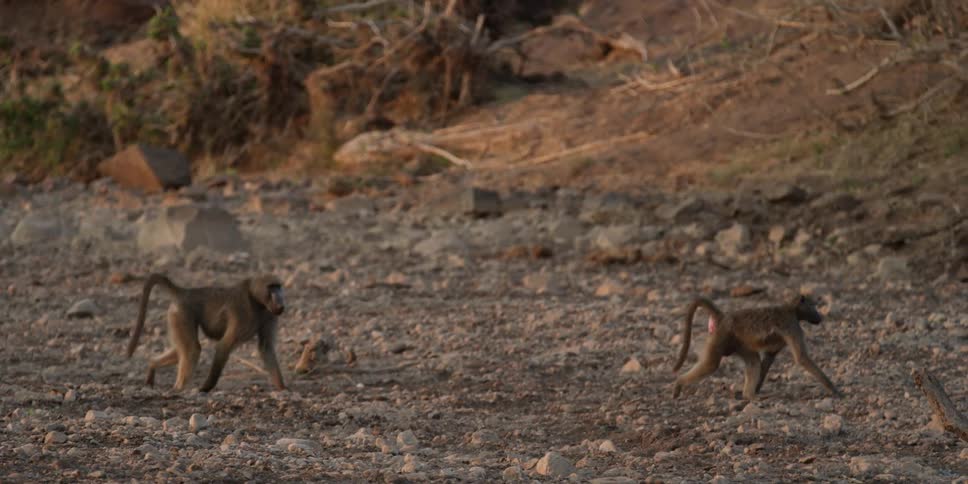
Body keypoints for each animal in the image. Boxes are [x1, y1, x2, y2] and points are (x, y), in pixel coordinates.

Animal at [126, 273, 287, 392]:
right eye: (271, 287)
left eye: (278, 287)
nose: (280, 300)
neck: (256, 300)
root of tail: (184, 292)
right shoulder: (243, 312)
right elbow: (223, 346)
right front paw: (205, 388)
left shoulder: (270, 315)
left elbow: (265, 347)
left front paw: (282, 388)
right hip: (182, 315)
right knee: (192, 349)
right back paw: (179, 389)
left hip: (175, 317)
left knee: (181, 351)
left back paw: (152, 365)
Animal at [672, 295, 842, 400]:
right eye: (813, 306)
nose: (819, 317)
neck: (791, 309)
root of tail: (723, 316)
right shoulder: (792, 325)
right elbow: (801, 358)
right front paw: (834, 390)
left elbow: (767, 360)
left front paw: (757, 388)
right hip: (722, 336)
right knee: (711, 364)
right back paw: (679, 383)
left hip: (737, 342)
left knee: (753, 361)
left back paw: (750, 396)